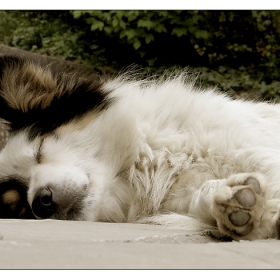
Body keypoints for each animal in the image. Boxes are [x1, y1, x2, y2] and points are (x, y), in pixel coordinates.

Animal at [0, 55, 280, 241]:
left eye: (40, 148)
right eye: (22, 207)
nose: (40, 203)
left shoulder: (257, 151)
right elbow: (205, 194)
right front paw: (242, 207)